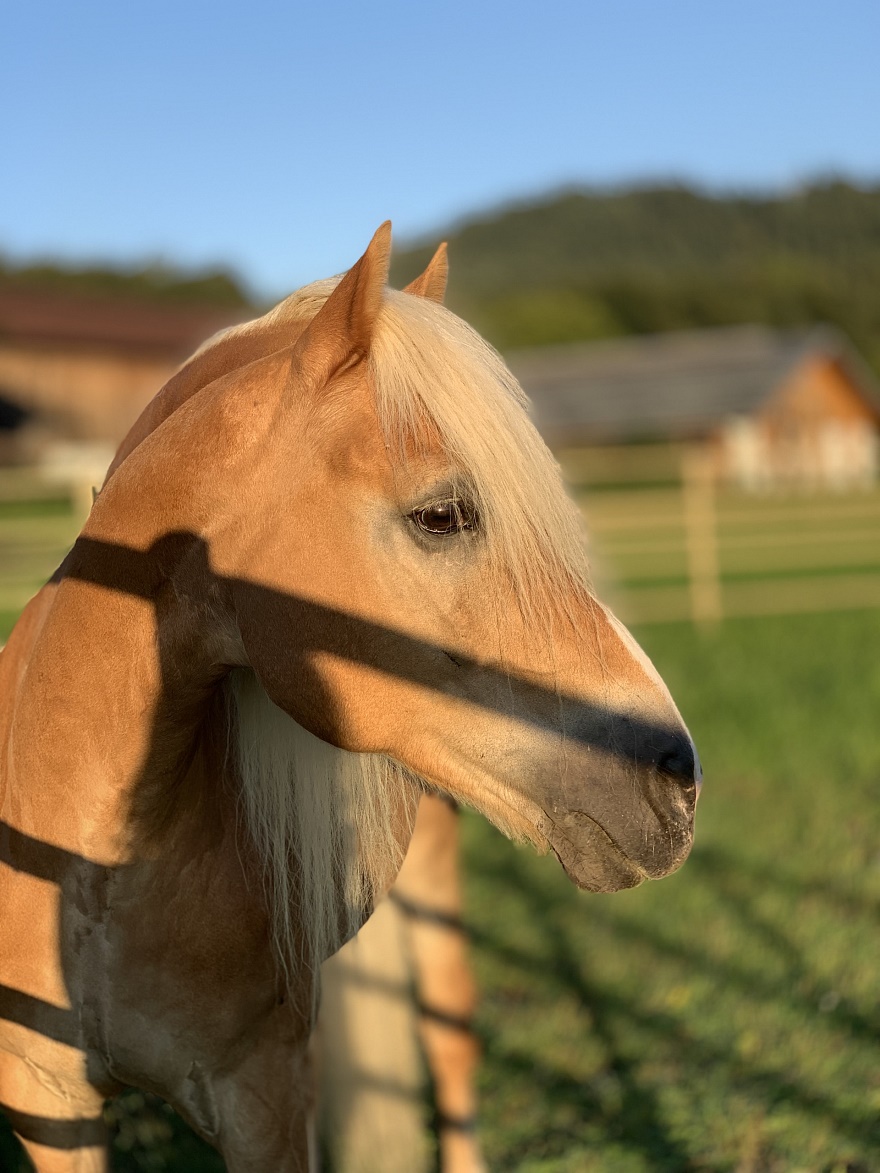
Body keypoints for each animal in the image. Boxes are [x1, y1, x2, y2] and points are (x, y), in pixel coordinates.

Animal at [0, 224, 704, 1168]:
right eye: (442, 515)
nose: (677, 778)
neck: (93, 860)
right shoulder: (49, 1105)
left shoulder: (262, 1097)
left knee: (450, 1040)